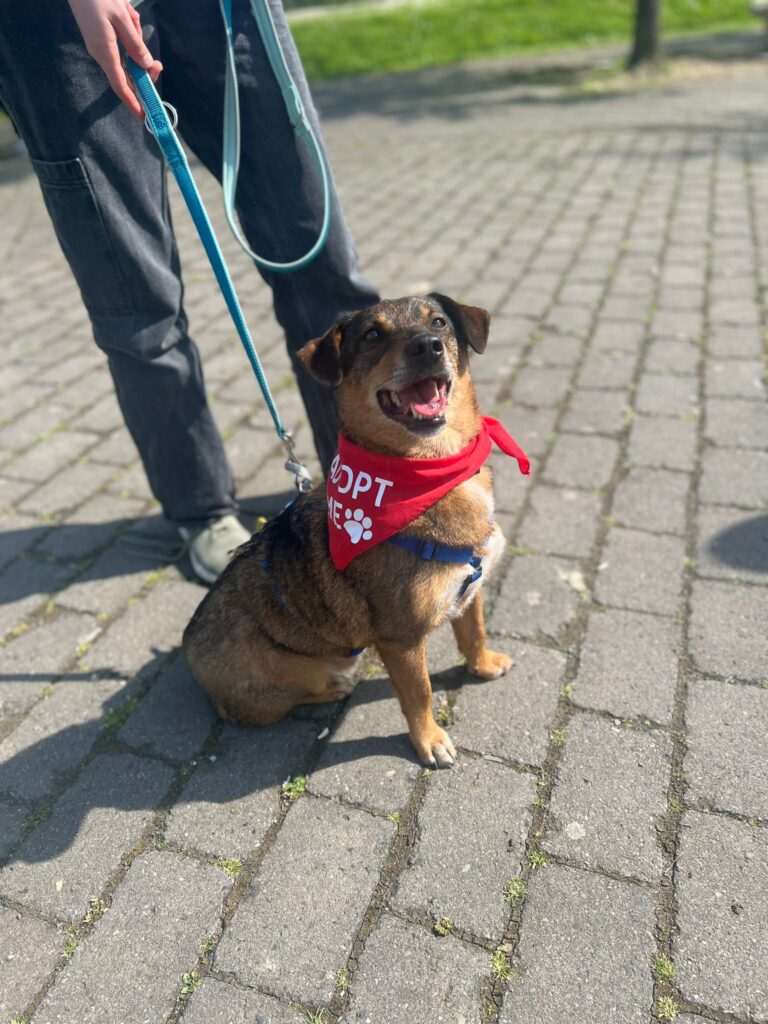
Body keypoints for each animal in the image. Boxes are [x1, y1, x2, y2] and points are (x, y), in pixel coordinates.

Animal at [182, 294, 529, 767]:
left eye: (439, 322)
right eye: (372, 335)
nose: (428, 346)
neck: (431, 469)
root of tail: (188, 648)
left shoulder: (469, 591)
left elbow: (473, 632)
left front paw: (483, 664)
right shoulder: (400, 639)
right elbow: (419, 693)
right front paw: (429, 740)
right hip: (285, 678)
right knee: (292, 696)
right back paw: (334, 687)